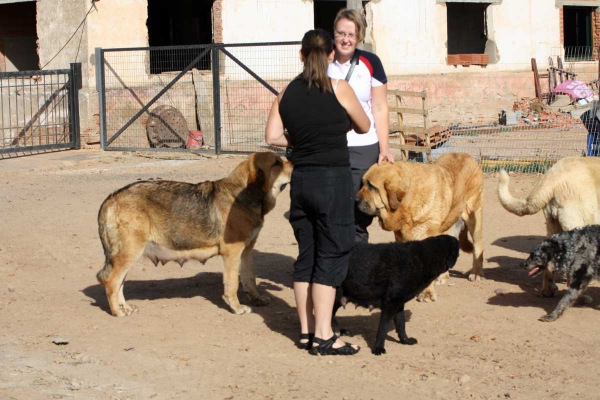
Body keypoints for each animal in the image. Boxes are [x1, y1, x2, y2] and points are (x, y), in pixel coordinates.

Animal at [95, 152, 292, 318]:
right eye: (277, 163)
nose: (295, 163)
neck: (240, 196)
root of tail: (111, 198)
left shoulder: (246, 252)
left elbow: (250, 278)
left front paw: (256, 300)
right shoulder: (232, 253)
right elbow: (232, 284)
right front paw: (236, 307)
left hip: (127, 255)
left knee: (119, 282)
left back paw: (125, 307)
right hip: (130, 252)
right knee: (111, 281)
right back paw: (117, 311)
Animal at [332, 236, 460, 354]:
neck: (422, 259)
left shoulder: (399, 304)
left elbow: (401, 324)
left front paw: (405, 341)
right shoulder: (390, 303)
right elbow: (383, 328)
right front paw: (378, 348)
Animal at [356, 152, 482, 302]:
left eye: (371, 186)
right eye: (363, 183)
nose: (355, 200)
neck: (409, 201)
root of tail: (467, 155)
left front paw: (426, 293)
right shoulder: (401, 237)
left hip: (473, 217)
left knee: (478, 248)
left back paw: (476, 274)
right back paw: (443, 277)